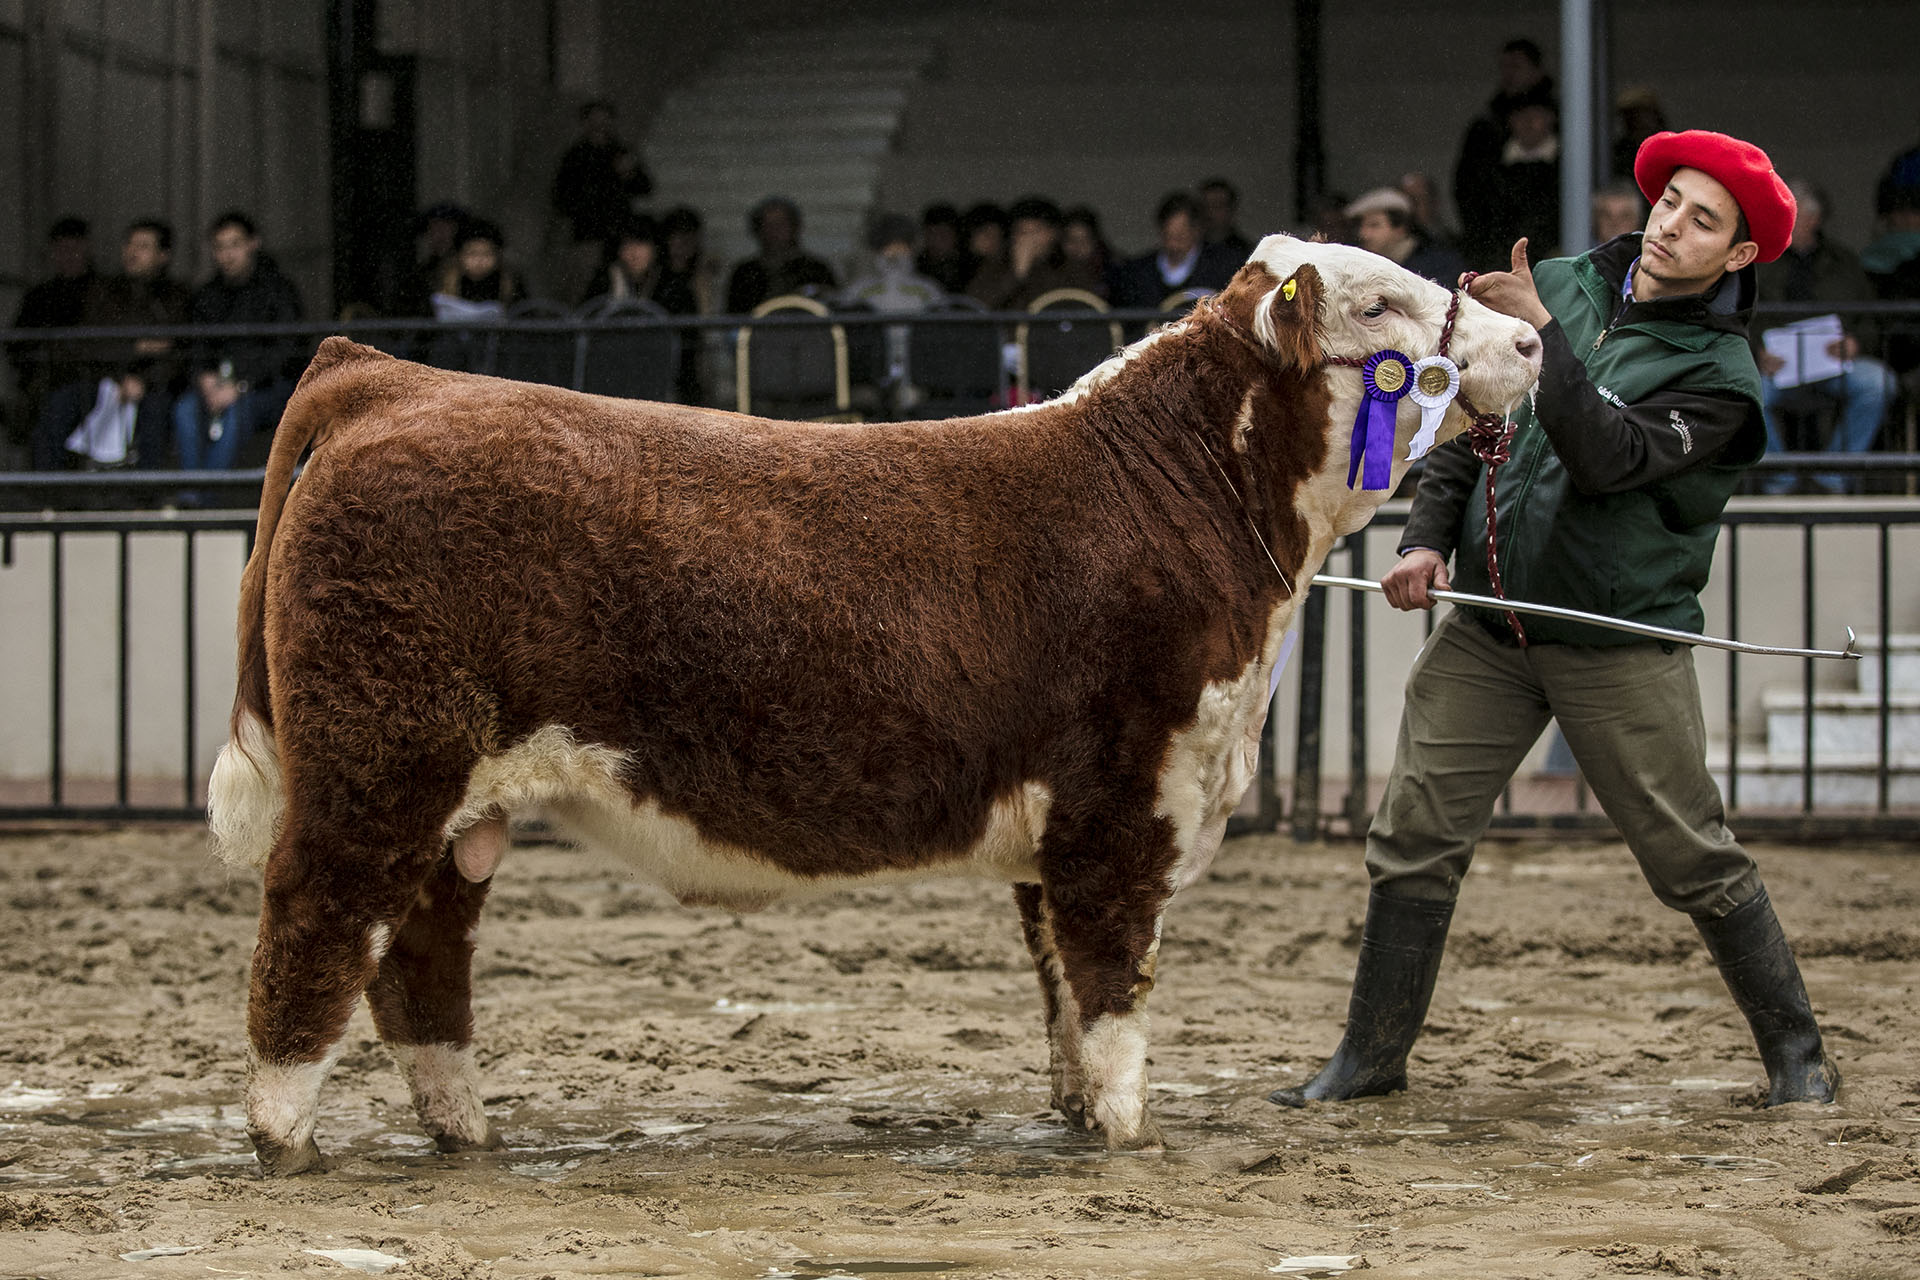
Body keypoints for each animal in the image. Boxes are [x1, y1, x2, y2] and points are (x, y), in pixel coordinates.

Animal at [210, 235, 1543, 1174]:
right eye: (1379, 305)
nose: (1531, 343)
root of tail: (386, 376)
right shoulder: (1125, 798)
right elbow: (1115, 978)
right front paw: (1130, 1133)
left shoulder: (1059, 830)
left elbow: (1061, 988)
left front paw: (1075, 1115)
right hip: (377, 768)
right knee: (312, 935)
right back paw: (288, 1142)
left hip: (449, 809)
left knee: (418, 962)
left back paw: (466, 1135)